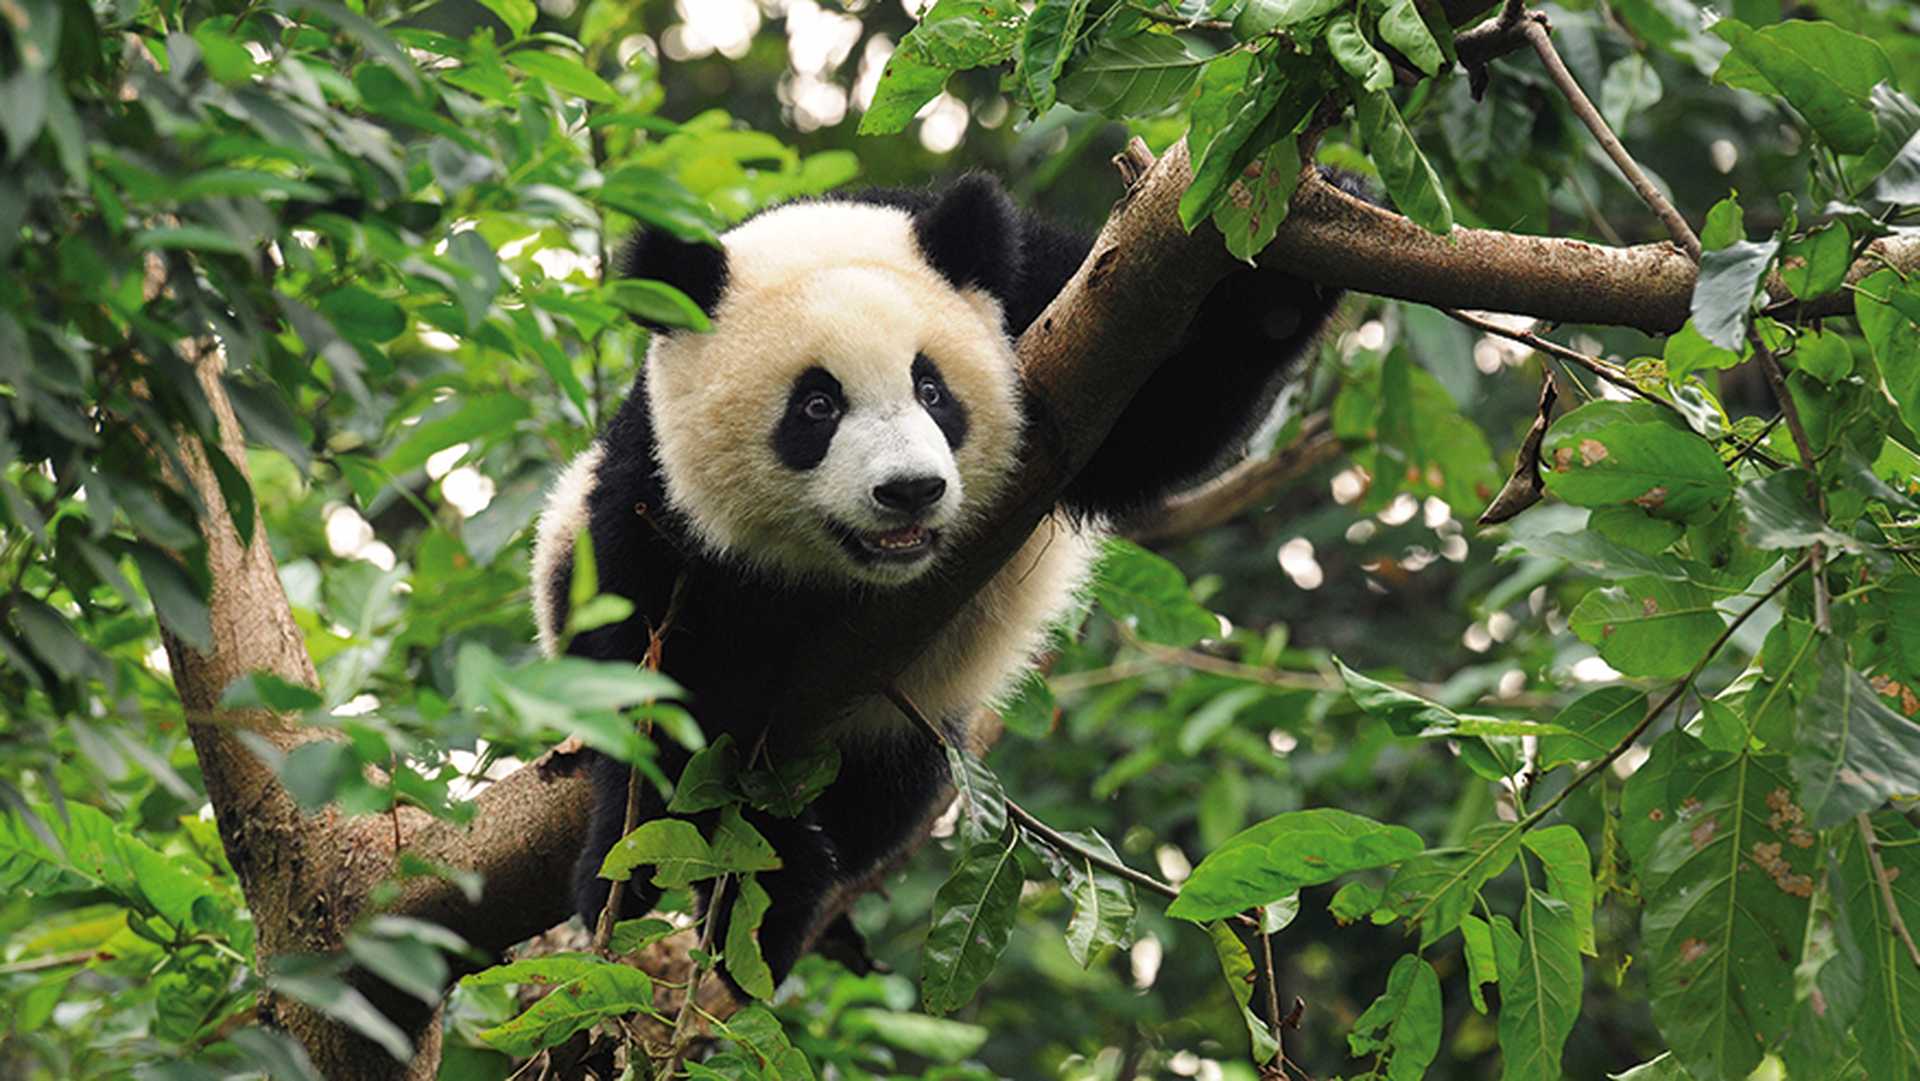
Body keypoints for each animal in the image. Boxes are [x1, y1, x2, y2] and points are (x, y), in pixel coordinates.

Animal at [531, 173, 1347, 988]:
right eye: (817, 405)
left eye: (931, 389)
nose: (910, 490)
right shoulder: (655, 498)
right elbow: (661, 687)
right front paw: (652, 867)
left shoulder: (1051, 306)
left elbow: (1157, 420)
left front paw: (1295, 253)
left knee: (882, 801)